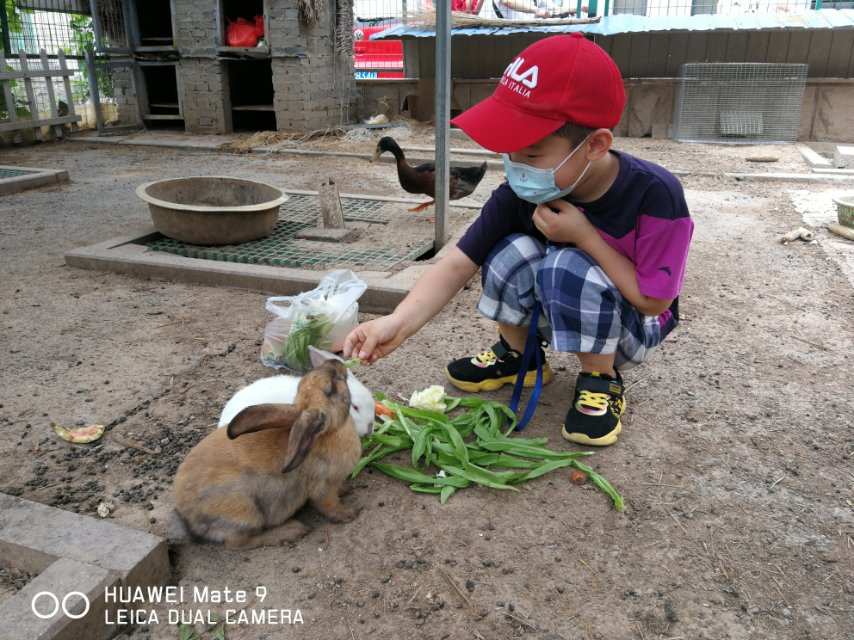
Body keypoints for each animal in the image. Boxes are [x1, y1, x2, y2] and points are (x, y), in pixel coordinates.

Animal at [174, 352, 362, 548]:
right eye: (330, 389)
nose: (335, 361)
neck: (328, 433)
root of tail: (188, 517)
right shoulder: (323, 487)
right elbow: (329, 506)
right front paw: (350, 513)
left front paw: (346, 489)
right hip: (244, 512)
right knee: (238, 542)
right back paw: (292, 531)